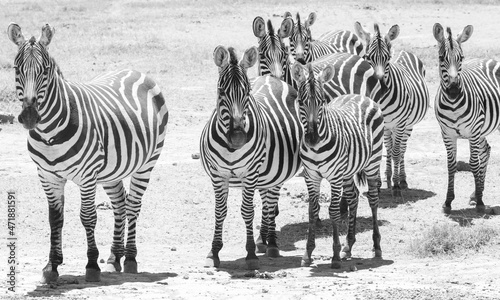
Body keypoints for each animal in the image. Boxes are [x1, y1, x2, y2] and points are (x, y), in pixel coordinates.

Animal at [7, 22, 170, 282]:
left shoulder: (87, 175)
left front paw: (92, 265)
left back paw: (130, 258)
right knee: (120, 204)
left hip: (147, 163)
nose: (30, 117)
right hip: (112, 170)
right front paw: (52, 266)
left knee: (133, 205)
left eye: (46, 70)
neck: (49, 132)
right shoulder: (47, 176)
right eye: (16, 68)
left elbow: (88, 216)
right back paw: (114, 258)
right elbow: (55, 220)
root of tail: (135, 71)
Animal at [200, 45, 302, 270]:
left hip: (274, 173)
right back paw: (263, 239)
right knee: (266, 201)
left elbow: (247, 211)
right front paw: (214, 252)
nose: (238, 137)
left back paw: (271, 243)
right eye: (221, 91)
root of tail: (270, 77)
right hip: (265, 173)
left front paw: (250, 254)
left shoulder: (250, 172)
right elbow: (219, 211)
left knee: (270, 203)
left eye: (247, 92)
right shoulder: (218, 174)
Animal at [290, 61, 382, 268]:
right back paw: (348, 245)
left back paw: (377, 246)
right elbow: (312, 210)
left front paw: (335, 255)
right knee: (353, 197)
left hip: (372, 162)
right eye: (300, 101)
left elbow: (333, 211)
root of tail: (358, 95)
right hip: (347, 171)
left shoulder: (334, 176)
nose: (312, 138)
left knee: (373, 199)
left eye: (322, 101)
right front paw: (308, 253)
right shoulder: (311, 176)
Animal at [352, 22, 430, 196]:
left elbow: (396, 152)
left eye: (387, 59)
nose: (381, 87)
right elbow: (380, 151)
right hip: (388, 126)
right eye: (367, 57)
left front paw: (396, 186)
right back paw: (387, 178)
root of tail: (404, 51)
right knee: (389, 147)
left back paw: (402, 180)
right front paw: (378, 183)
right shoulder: (377, 124)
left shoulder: (400, 124)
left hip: (408, 125)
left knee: (401, 150)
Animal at [430, 24, 500, 213]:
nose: (454, 90)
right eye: (441, 58)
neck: (453, 105)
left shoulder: (473, 132)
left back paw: (479, 195)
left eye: (461, 58)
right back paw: (476, 193)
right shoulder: (447, 134)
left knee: (482, 154)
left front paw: (481, 203)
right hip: (482, 130)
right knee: (486, 150)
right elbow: (451, 165)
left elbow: (473, 164)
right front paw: (448, 201)